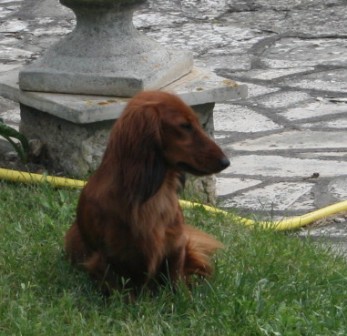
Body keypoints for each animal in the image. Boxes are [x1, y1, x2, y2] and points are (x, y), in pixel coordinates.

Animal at [65, 90, 231, 292]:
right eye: (185, 126)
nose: (226, 162)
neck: (153, 197)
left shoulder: (176, 244)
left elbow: (176, 282)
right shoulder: (111, 259)